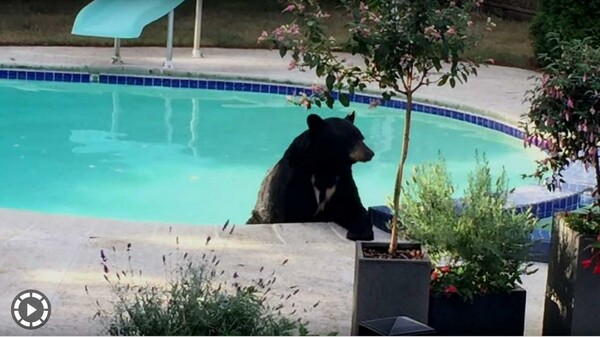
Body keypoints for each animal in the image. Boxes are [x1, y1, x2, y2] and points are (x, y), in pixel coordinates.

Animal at [247, 111, 376, 240]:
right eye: (351, 140)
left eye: (362, 138)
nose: (370, 153)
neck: (327, 167)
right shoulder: (298, 179)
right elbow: (298, 207)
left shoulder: (342, 179)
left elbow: (351, 205)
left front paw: (359, 232)